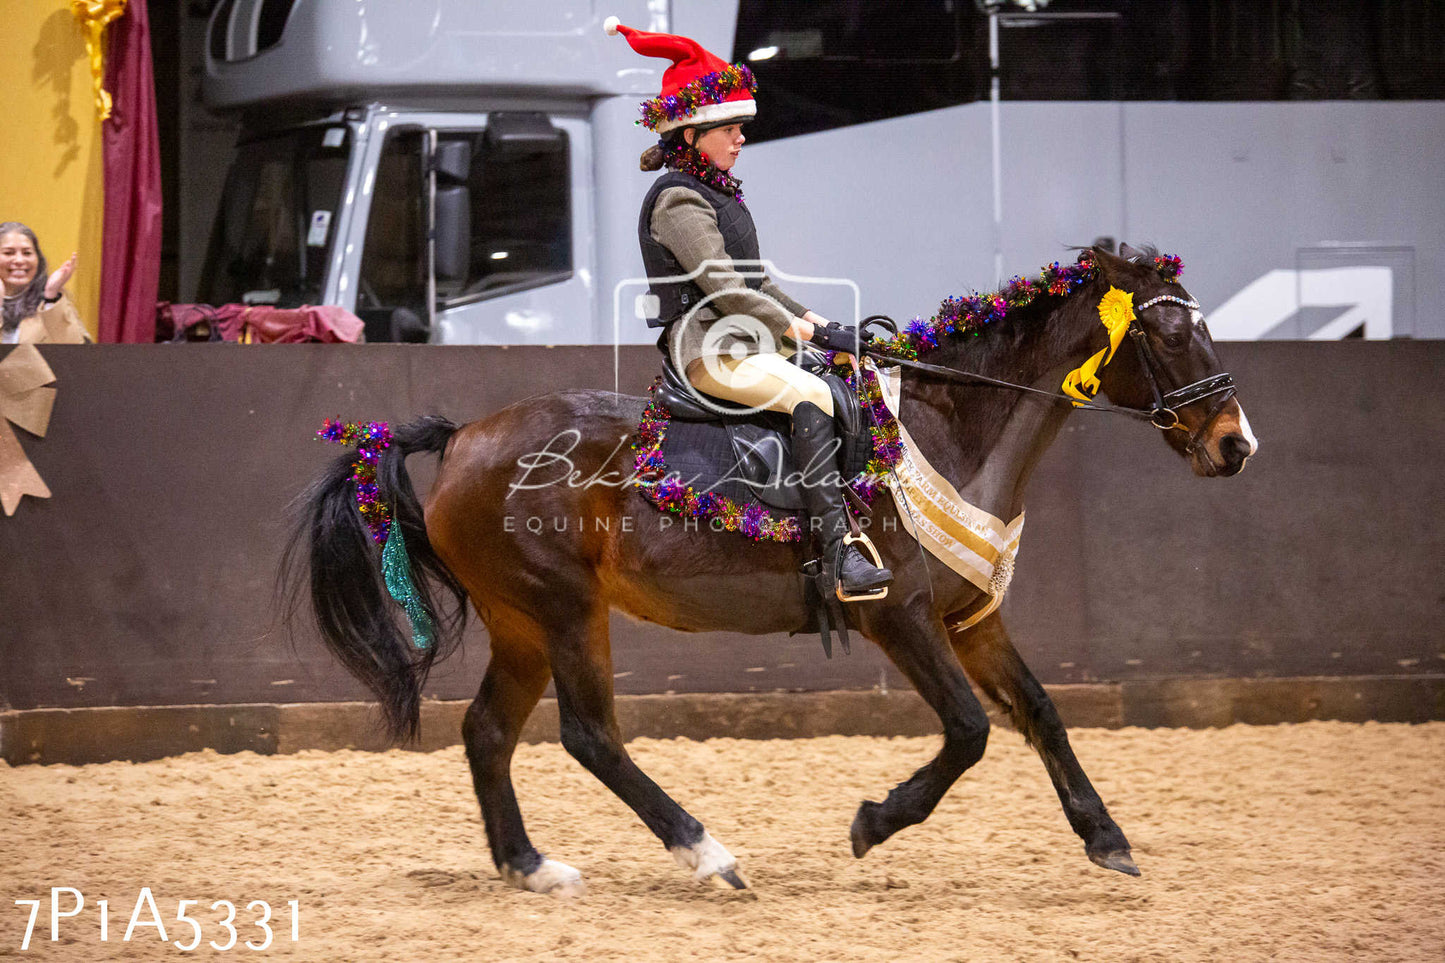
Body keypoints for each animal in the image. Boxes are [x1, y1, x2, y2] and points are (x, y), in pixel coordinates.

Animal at [281, 244, 1254, 896]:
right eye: (1171, 333)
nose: (1234, 445)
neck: (947, 430)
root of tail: (462, 438)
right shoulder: (897, 615)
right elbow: (971, 730)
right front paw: (874, 822)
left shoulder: (971, 618)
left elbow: (1041, 712)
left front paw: (1106, 837)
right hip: (562, 609)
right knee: (590, 734)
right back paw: (705, 851)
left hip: (520, 621)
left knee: (488, 731)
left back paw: (531, 865)